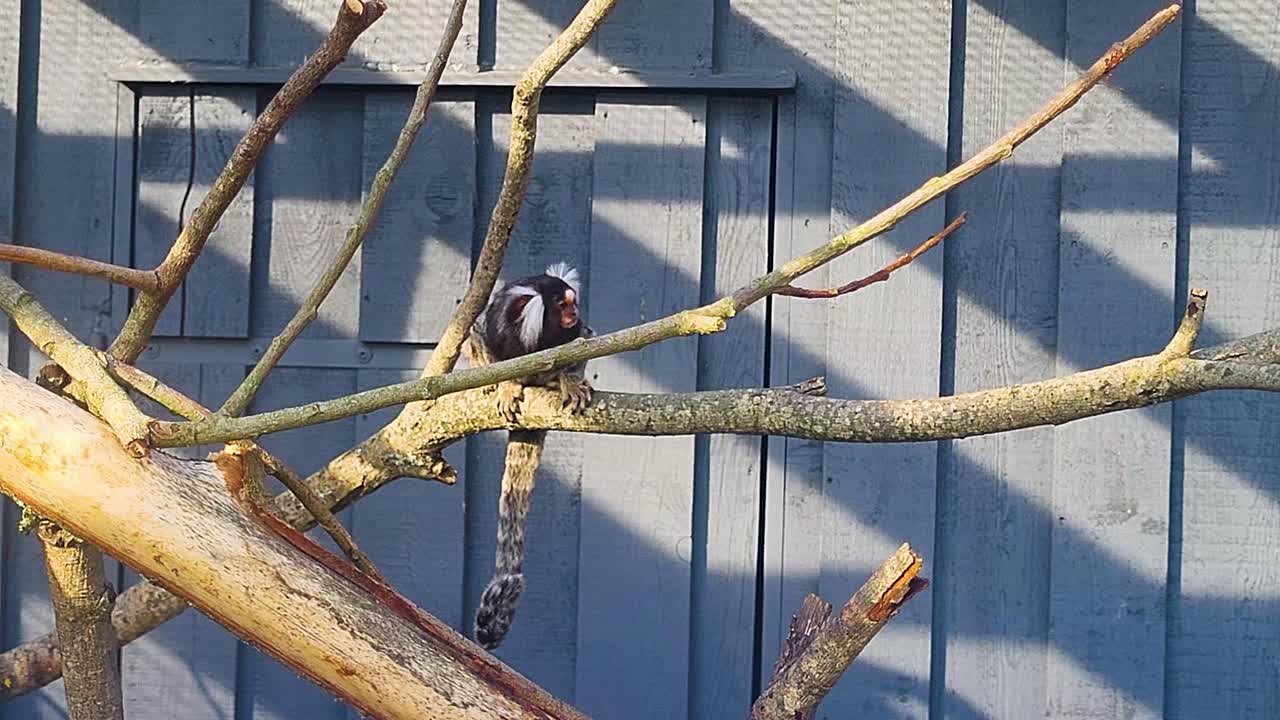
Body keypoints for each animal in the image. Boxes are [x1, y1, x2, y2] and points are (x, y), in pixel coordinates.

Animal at [465, 262, 593, 650]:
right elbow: (480, 342)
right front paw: (505, 384)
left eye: (573, 303)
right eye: (562, 305)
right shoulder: (492, 331)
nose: (574, 314)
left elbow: (581, 346)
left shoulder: (579, 335)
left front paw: (567, 380)